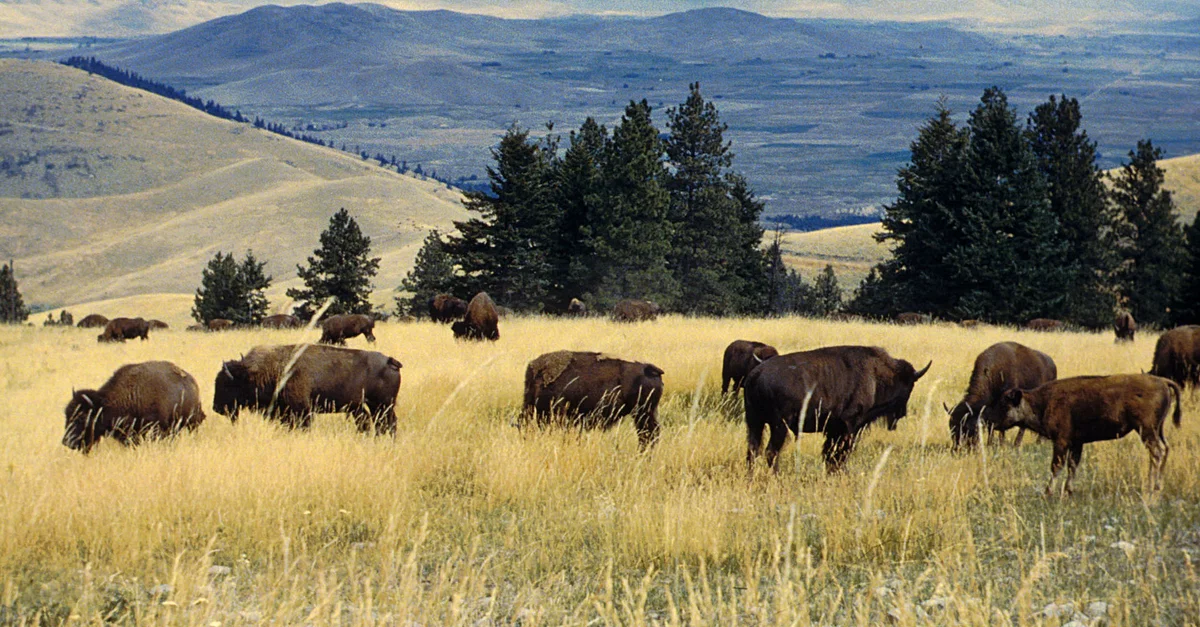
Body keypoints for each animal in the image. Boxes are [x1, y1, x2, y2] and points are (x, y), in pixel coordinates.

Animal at [213, 344, 402, 434]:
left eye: (226, 384)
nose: (216, 408)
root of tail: (389, 361)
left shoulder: (302, 411)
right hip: (369, 407)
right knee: (376, 423)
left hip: (383, 405)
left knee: (388, 423)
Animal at [744, 346, 931, 473]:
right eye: (909, 386)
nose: (902, 413)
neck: (876, 376)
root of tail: (756, 374)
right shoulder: (849, 426)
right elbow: (840, 454)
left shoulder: (833, 430)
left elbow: (829, 454)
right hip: (779, 426)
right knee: (770, 452)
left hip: (754, 423)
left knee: (753, 450)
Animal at [996, 374, 1182, 496]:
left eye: (1005, 404)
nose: (994, 423)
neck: (1043, 401)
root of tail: (1163, 381)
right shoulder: (1076, 443)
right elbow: (1072, 465)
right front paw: (1068, 490)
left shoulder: (1061, 442)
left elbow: (1057, 465)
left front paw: (1048, 491)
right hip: (1158, 430)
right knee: (1165, 449)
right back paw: (1158, 485)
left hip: (1146, 430)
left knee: (1157, 452)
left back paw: (1152, 486)